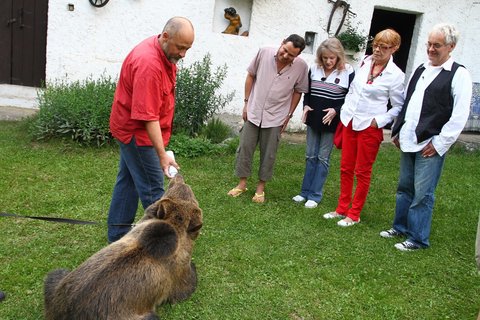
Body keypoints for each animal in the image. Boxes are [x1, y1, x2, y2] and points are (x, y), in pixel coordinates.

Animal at [43, 175, 202, 320]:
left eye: (183, 188)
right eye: (188, 189)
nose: (178, 176)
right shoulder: (177, 271)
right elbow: (185, 286)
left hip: (59, 285)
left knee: (54, 276)